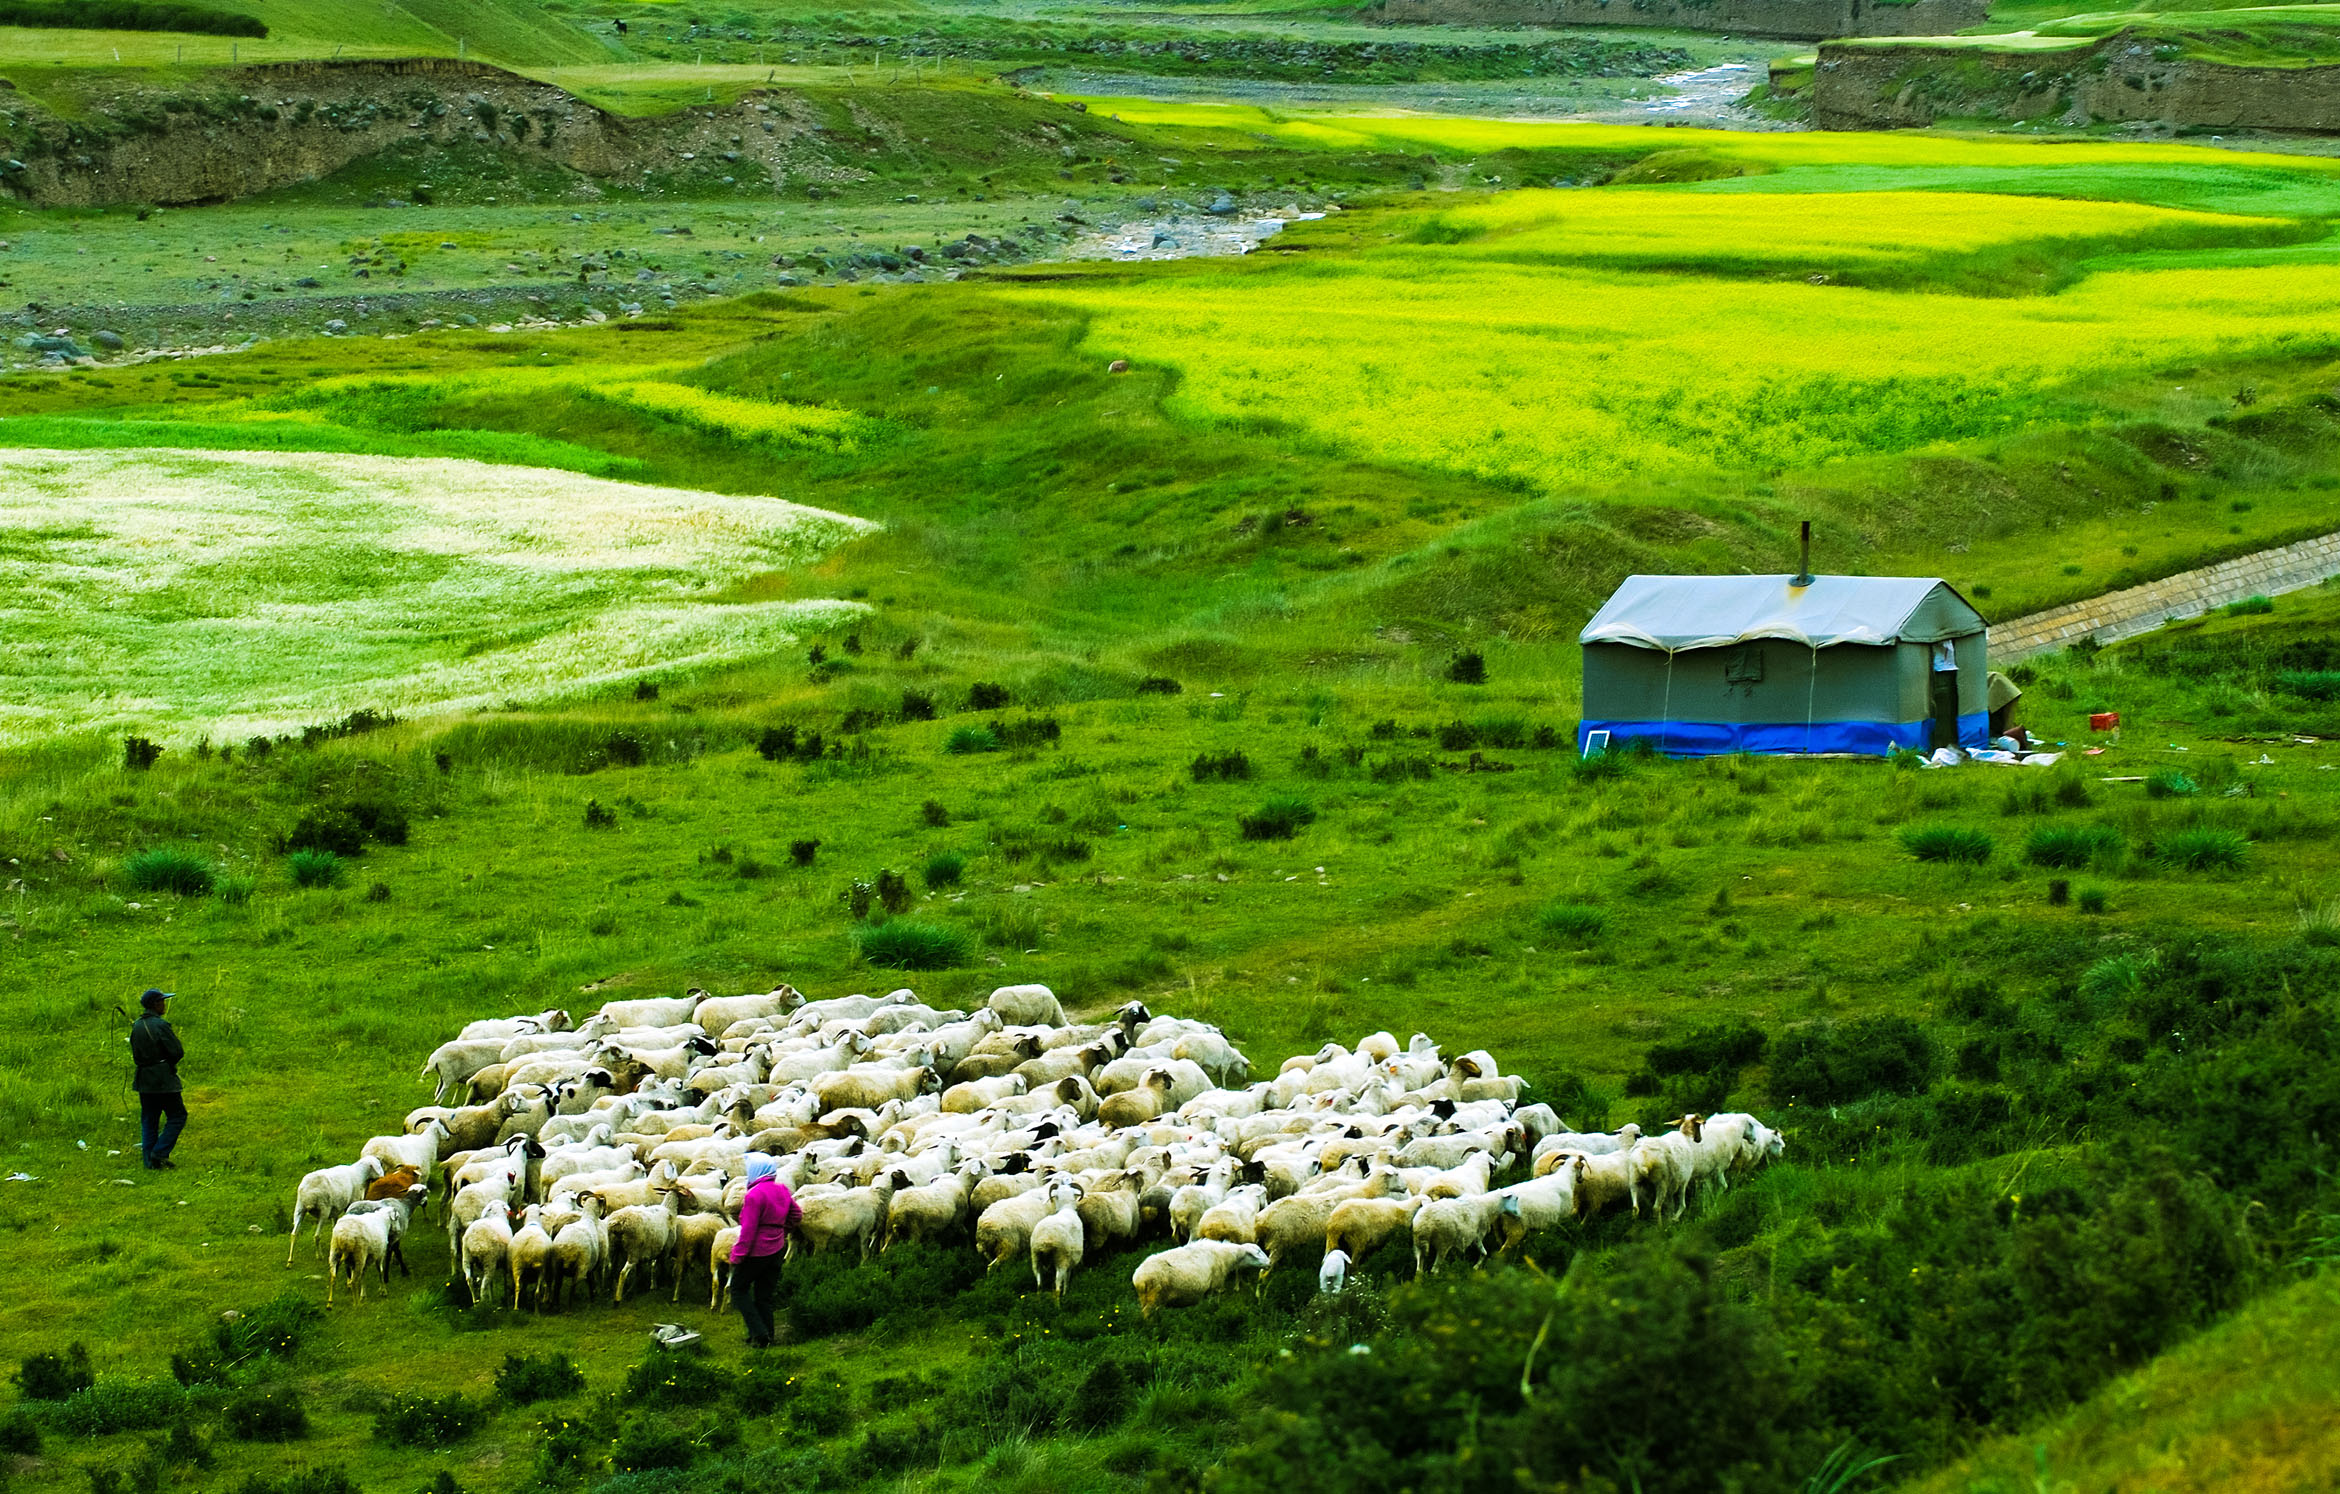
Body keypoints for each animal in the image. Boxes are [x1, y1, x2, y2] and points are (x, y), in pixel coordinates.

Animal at [1127, 1245, 1272, 1320]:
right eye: (1257, 1253)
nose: (1270, 1263)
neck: (1227, 1256)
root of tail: (1138, 1278)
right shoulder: (1214, 1286)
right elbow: (1213, 1303)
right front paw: (1213, 1314)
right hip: (1154, 1296)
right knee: (1148, 1314)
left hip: (1146, 1298)